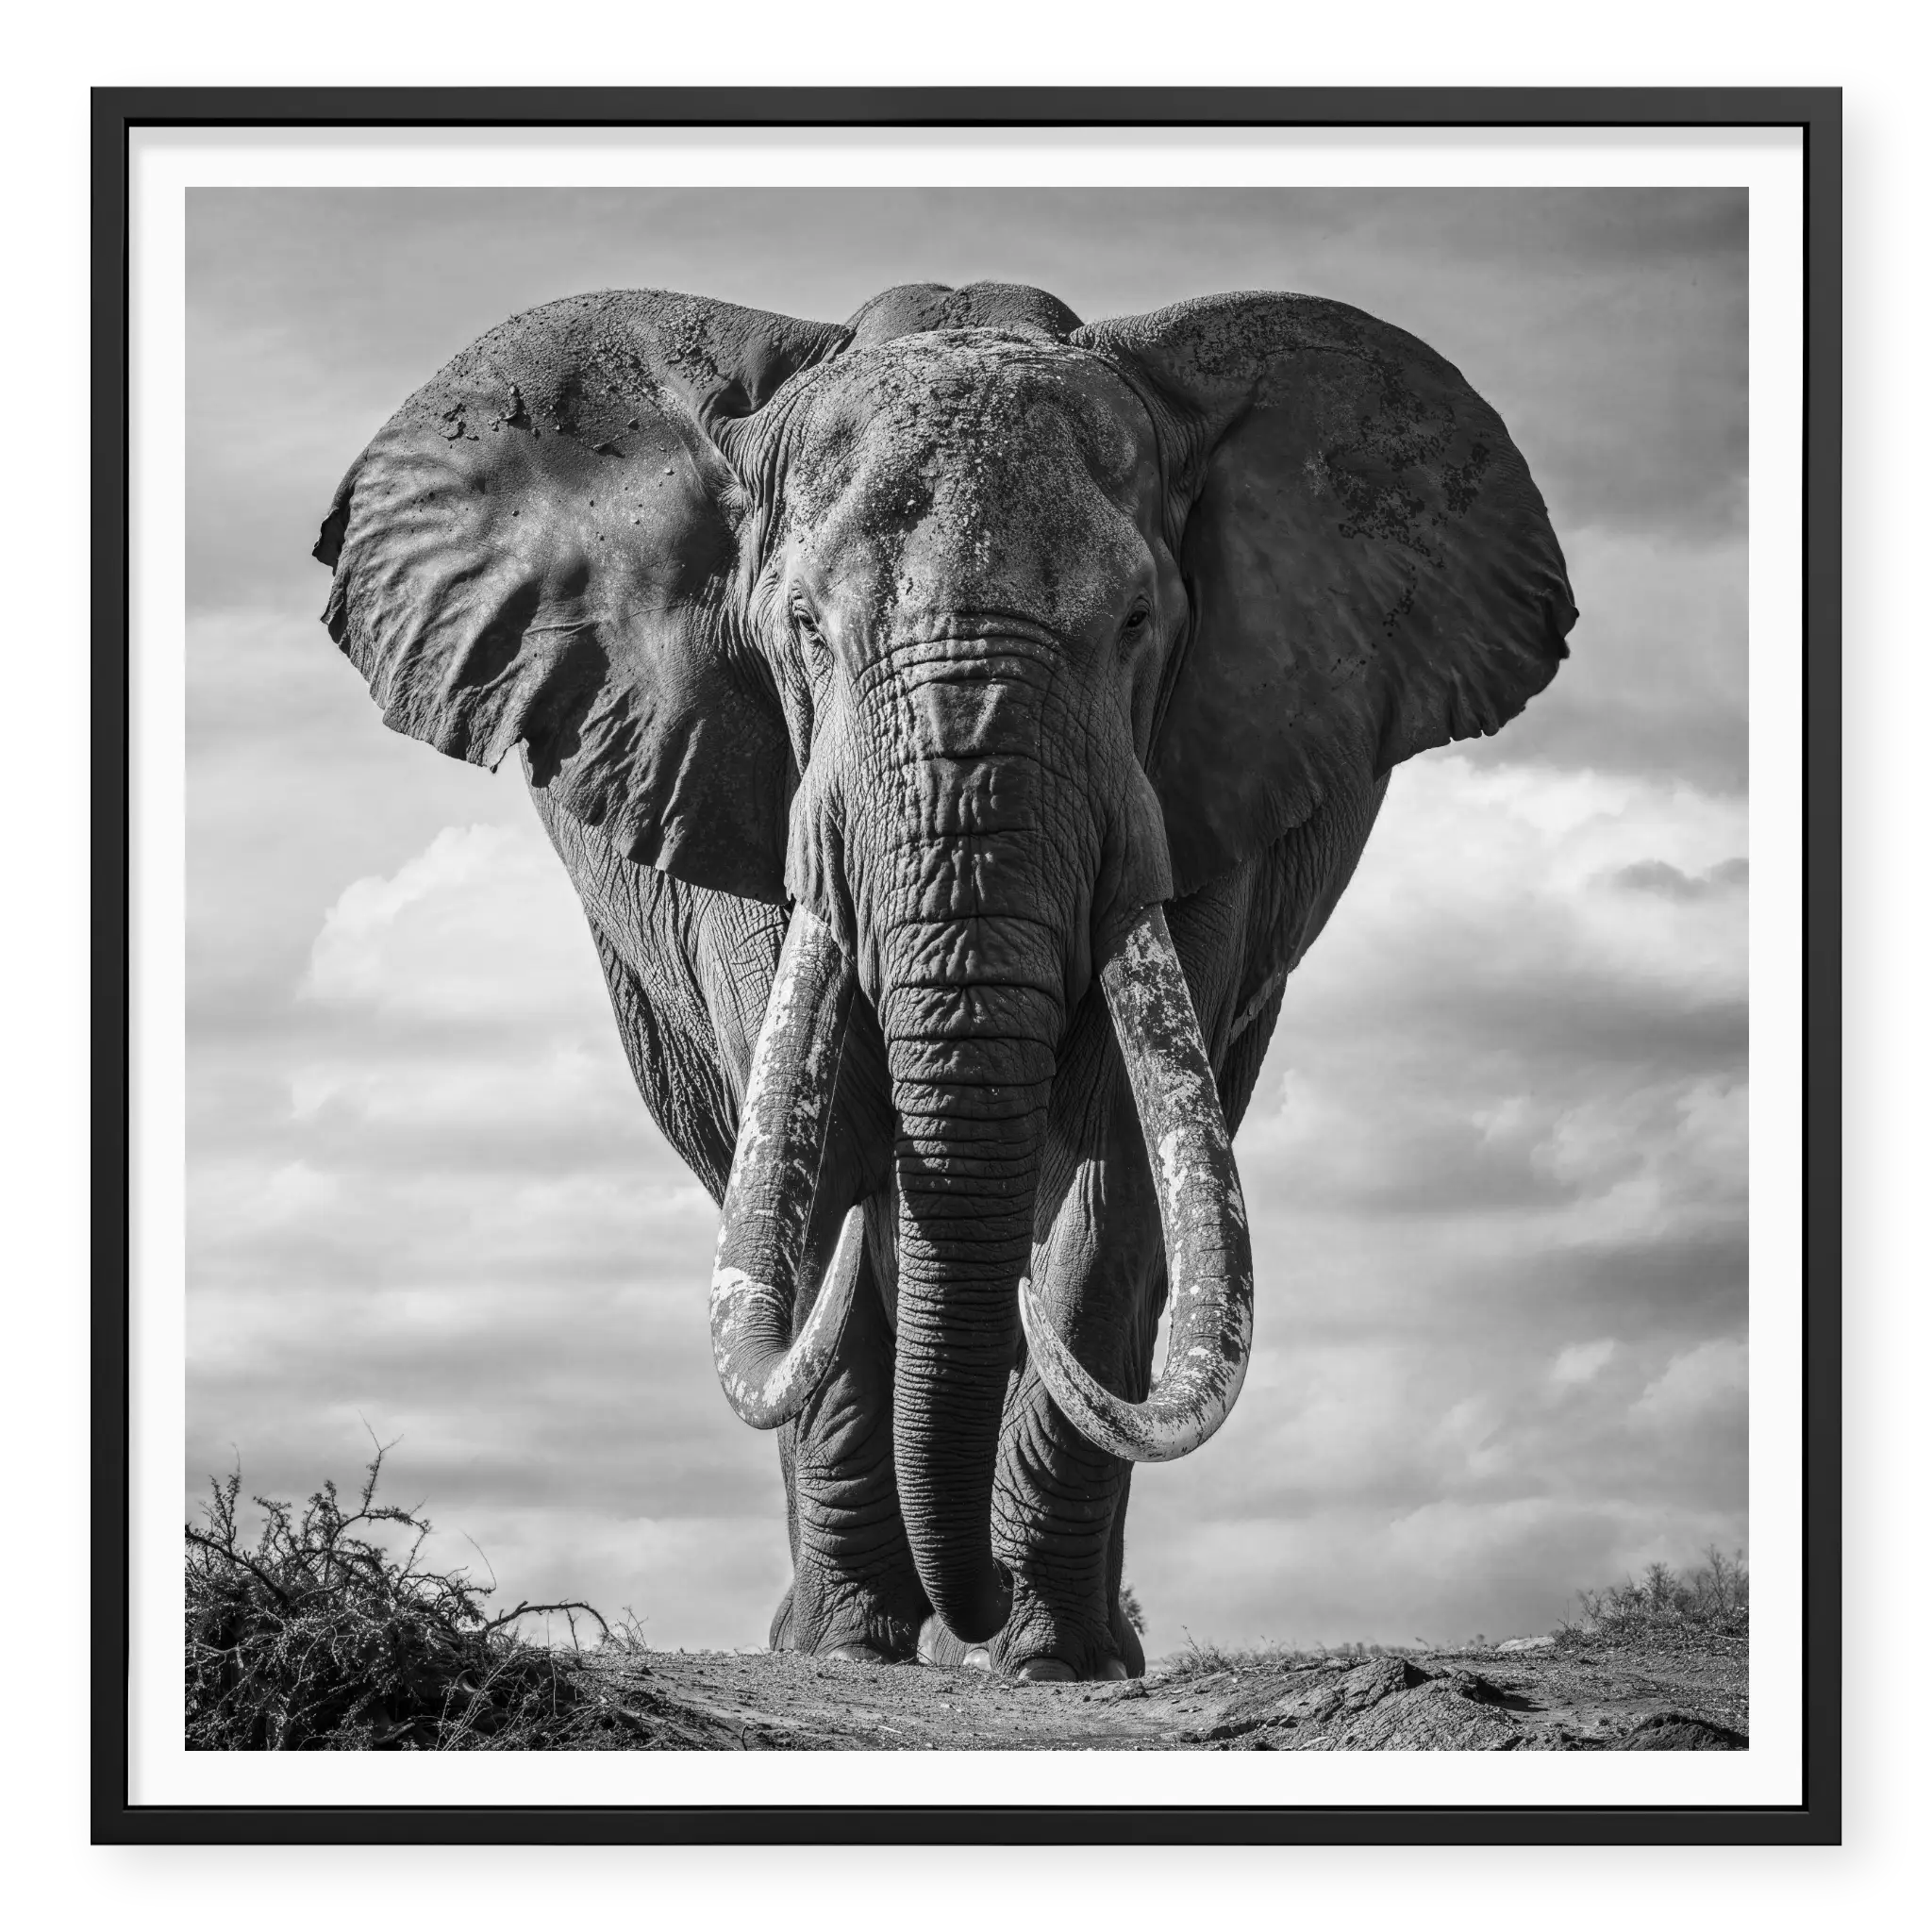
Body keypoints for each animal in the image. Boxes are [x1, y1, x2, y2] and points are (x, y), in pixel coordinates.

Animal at [312, 279, 1575, 1683]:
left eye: (1136, 625)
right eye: (803, 630)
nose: (960, 1608)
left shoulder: (1208, 787)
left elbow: (1114, 1169)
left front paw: (1053, 1659)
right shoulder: (732, 780)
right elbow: (816, 1164)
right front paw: (852, 1648)